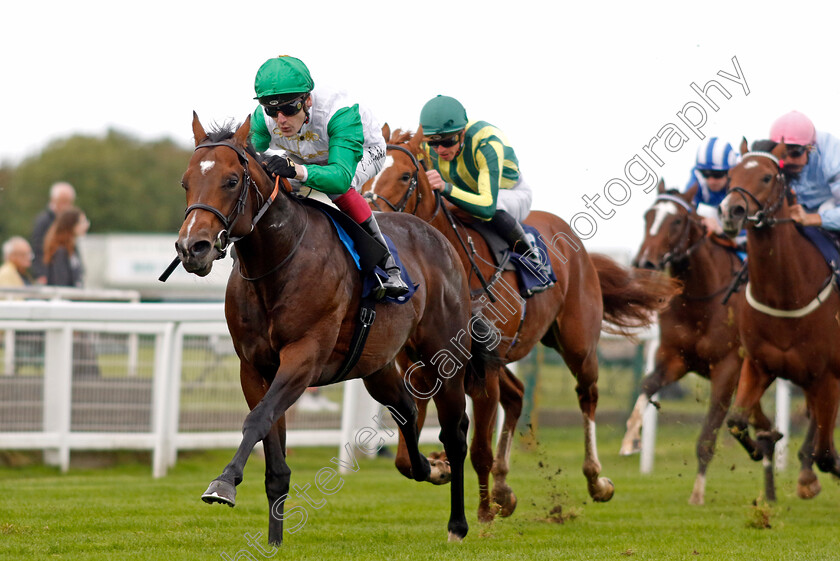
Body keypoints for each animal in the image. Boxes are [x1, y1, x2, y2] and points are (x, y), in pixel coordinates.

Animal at [174, 114, 482, 544]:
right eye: (186, 182)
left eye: (232, 181)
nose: (192, 248)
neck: (278, 262)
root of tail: (438, 236)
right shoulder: (254, 368)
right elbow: (273, 453)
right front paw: (274, 541)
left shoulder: (303, 358)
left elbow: (256, 421)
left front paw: (224, 483)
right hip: (377, 365)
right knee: (406, 410)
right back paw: (429, 468)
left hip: (446, 356)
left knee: (454, 433)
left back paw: (457, 524)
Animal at [364, 128, 680, 520]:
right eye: (366, 172)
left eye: (405, 176)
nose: (371, 215)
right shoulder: (424, 365)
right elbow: (406, 459)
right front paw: (440, 467)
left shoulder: (482, 369)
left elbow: (479, 449)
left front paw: (483, 514)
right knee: (516, 396)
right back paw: (503, 487)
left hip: (577, 344)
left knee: (587, 395)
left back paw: (596, 480)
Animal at [624, 180, 776, 504]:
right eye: (647, 216)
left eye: (677, 221)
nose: (644, 262)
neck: (702, 302)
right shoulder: (675, 358)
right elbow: (648, 385)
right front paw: (630, 438)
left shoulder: (727, 368)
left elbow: (708, 435)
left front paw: (697, 494)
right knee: (764, 426)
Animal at [720, 142, 836, 500]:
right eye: (731, 174)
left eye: (767, 177)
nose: (731, 211)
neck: (785, 294)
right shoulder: (758, 364)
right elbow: (735, 420)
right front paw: (764, 442)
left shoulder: (826, 375)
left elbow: (826, 454)